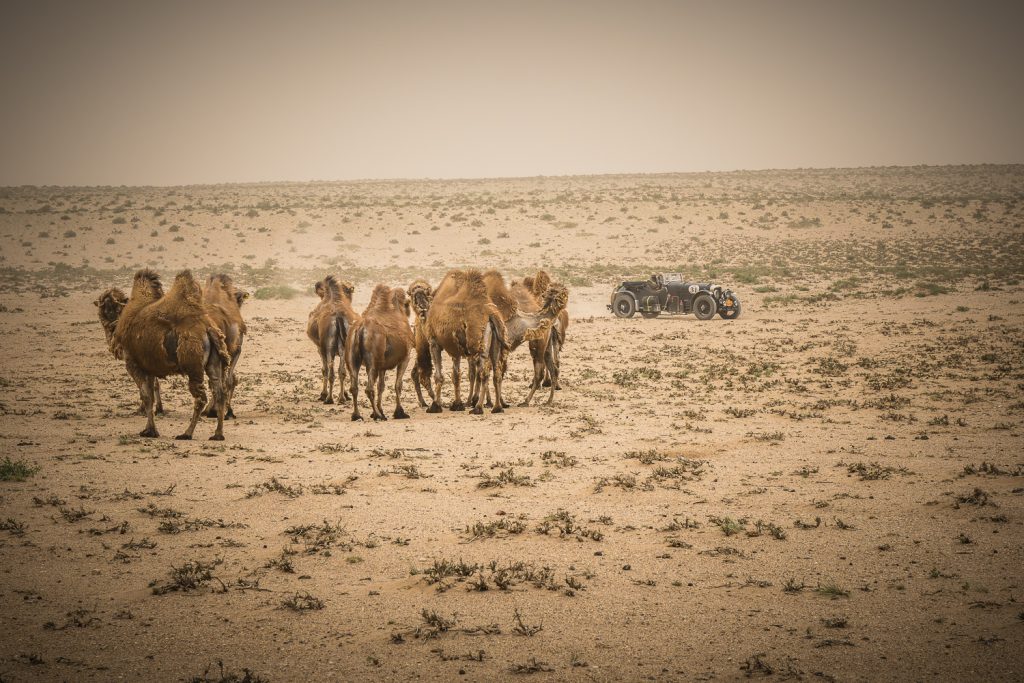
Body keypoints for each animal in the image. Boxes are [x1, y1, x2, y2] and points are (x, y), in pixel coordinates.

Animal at [95, 287, 163, 416]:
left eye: (117, 306)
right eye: (105, 306)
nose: (110, 314)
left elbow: (143, 386)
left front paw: (142, 409)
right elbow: (154, 384)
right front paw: (158, 409)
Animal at [111, 269, 232, 440]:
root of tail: (208, 328)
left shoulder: (133, 363)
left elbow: (146, 396)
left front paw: (150, 431)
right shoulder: (148, 367)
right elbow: (151, 396)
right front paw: (149, 429)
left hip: (193, 364)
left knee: (201, 398)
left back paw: (186, 433)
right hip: (214, 361)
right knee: (219, 393)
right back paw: (217, 434)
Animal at [306, 275, 359, 404]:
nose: (316, 286)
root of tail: (339, 317)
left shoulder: (320, 348)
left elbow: (324, 370)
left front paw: (323, 394)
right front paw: (346, 394)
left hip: (329, 347)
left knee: (331, 371)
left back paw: (329, 398)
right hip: (344, 347)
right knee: (343, 371)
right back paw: (342, 398)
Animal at [345, 284, 414, 421]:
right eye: (408, 304)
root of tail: (360, 329)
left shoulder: (383, 366)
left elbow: (381, 386)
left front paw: (381, 410)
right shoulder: (405, 358)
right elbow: (398, 385)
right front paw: (400, 412)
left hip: (352, 357)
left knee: (354, 387)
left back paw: (357, 415)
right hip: (373, 361)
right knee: (369, 389)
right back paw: (378, 416)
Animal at [424, 269, 510, 415]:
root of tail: (491, 314)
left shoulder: (434, 342)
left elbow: (439, 376)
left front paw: (435, 406)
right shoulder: (455, 349)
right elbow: (456, 375)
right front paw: (457, 404)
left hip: (478, 343)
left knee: (484, 373)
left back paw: (478, 407)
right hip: (497, 343)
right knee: (497, 372)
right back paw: (497, 407)